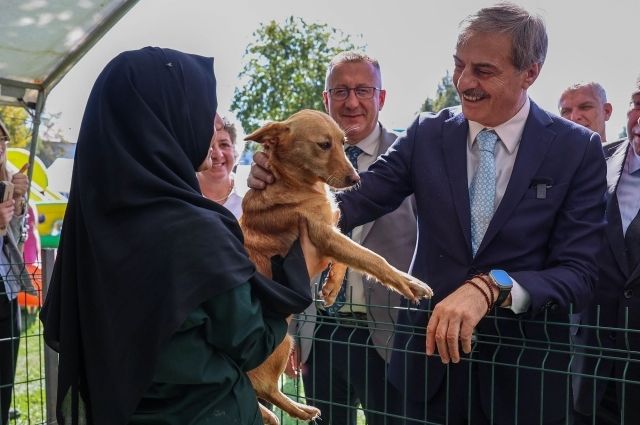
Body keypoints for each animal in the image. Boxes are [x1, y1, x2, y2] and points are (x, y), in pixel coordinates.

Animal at [240, 108, 436, 424]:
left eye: (344, 142)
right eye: (323, 145)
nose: (356, 178)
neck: (292, 182)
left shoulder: (332, 232)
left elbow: (348, 260)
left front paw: (331, 289)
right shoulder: (323, 236)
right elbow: (372, 258)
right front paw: (409, 282)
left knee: (265, 394)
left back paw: (297, 410)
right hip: (283, 344)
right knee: (264, 388)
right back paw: (297, 411)